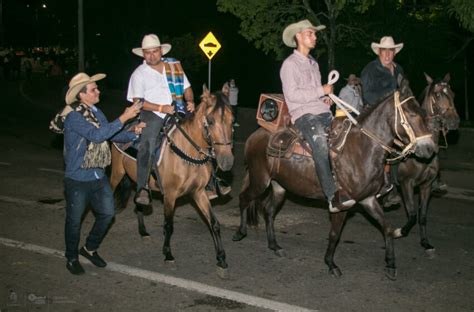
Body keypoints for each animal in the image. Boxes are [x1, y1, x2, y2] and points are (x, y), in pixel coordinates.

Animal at [111, 87, 237, 276]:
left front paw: (221, 260)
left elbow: (214, 223)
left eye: (232, 120)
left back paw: (143, 232)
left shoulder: (198, 193)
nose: (227, 162)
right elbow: (168, 225)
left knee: (138, 201)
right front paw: (168, 254)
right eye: (211, 120)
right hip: (117, 172)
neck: (188, 151)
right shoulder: (170, 195)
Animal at [231, 78, 436, 280]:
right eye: (411, 115)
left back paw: (274, 245)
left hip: (279, 186)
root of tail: (256, 134)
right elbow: (335, 234)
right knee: (244, 198)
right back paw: (240, 233)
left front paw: (391, 264)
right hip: (259, 180)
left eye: (424, 114)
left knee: (269, 211)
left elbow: (387, 227)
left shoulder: (368, 199)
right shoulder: (342, 204)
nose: (429, 148)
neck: (361, 148)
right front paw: (331, 263)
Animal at [392, 73, 460, 256]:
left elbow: (422, 216)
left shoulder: (426, 185)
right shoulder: (406, 183)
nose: (454, 122)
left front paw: (425, 243)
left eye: (452, 94)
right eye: (437, 95)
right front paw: (398, 232)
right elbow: (412, 215)